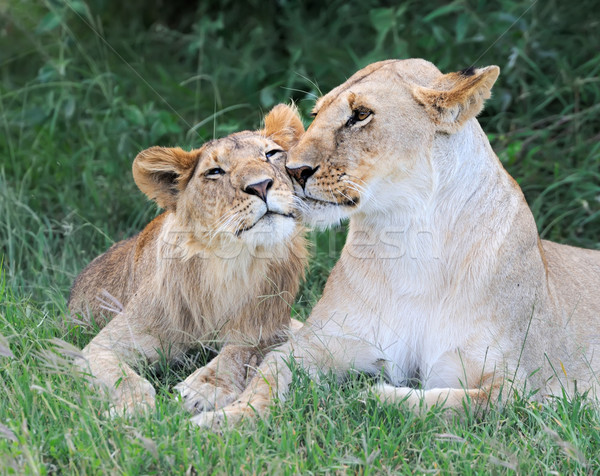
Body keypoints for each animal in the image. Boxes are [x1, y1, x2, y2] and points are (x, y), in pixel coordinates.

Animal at [68, 103, 308, 412]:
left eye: (271, 154)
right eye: (215, 171)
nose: (261, 185)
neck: (230, 264)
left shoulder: (276, 327)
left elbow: (239, 350)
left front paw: (203, 389)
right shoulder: (99, 348)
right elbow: (127, 379)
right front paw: (133, 410)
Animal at [193, 59, 600, 428]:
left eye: (360, 115)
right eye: (316, 113)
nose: (292, 171)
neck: (410, 236)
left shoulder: (520, 386)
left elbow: (456, 405)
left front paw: (367, 395)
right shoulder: (317, 344)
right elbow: (268, 375)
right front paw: (222, 420)